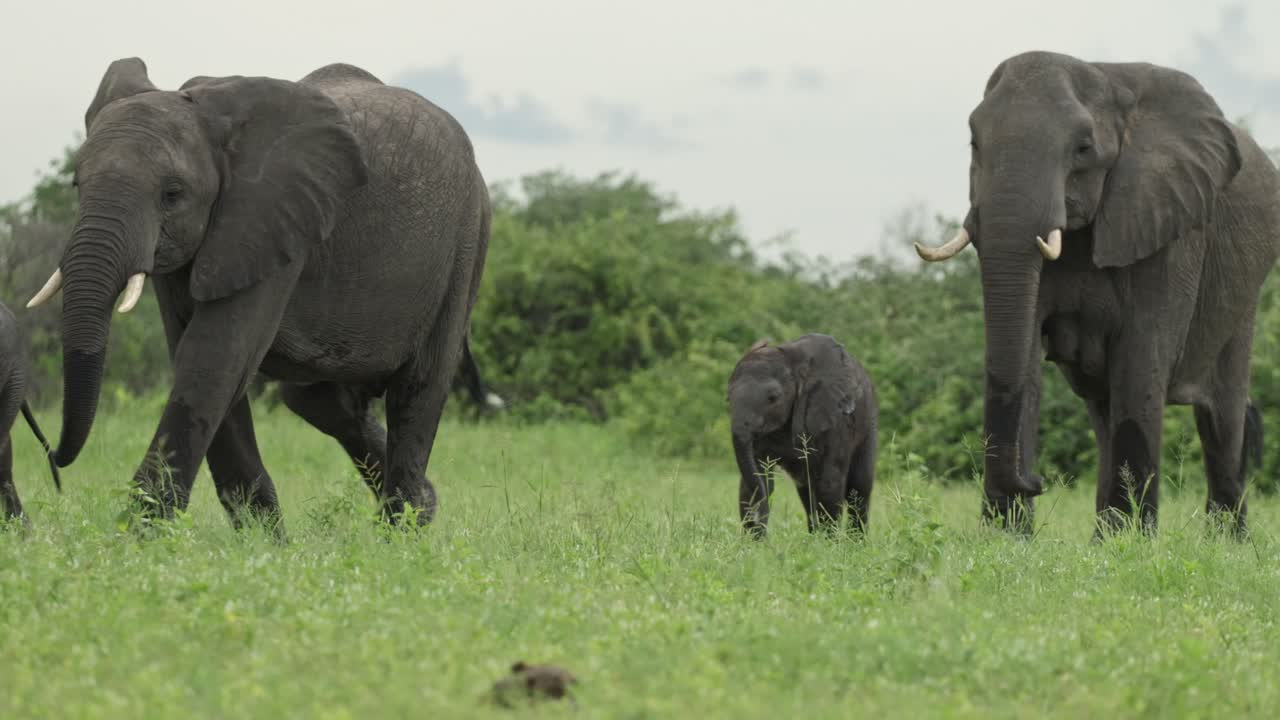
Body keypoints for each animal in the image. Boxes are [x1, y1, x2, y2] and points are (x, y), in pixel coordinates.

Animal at [26, 58, 490, 530]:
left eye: (172, 194)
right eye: (76, 185)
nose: (54, 459)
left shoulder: (273, 218)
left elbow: (214, 357)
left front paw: (138, 536)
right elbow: (203, 358)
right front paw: (262, 539)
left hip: (465, 245)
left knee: (417, 387)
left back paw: (402, 528)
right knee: (319, 400)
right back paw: (425, 504)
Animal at [728, 334, 877, 537]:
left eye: (773, 398)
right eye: (728, 398)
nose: (758, 524)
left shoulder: (835, 419)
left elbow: (829, 482)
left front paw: (828, 543)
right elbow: (757, 476)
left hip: (868, 426)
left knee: (859, 488)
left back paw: (856, 541)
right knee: (807, 494)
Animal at [914, 51, 1280, 536]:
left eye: (1083, 149)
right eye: (974, 143)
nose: (1037, 481)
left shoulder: (1168, 225)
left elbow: (1140, 361)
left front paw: (1135, 545)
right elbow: (1024, 358)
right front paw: (1005, 540)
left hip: (1244, 295)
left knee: (1220, 423)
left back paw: (1224, 543)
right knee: (1105, 412)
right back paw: (1104, 539)